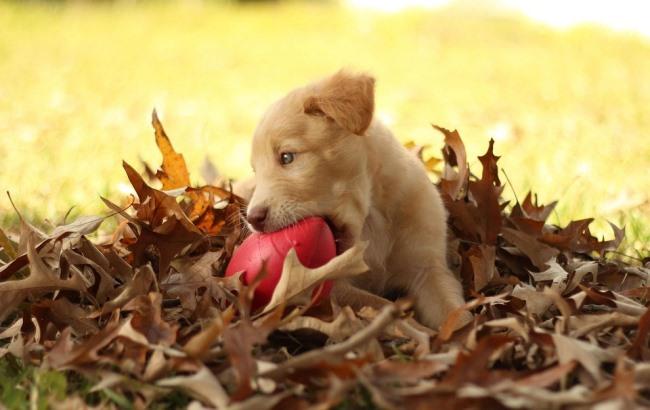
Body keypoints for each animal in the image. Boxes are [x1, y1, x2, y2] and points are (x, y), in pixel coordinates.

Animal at [238, 69, 466, 326]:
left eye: (287, 157)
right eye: (256, 170)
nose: (252, 219)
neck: (372, 219)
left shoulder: (429, 270)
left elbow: (456, 313)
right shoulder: (330, 284)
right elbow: (382, 305)